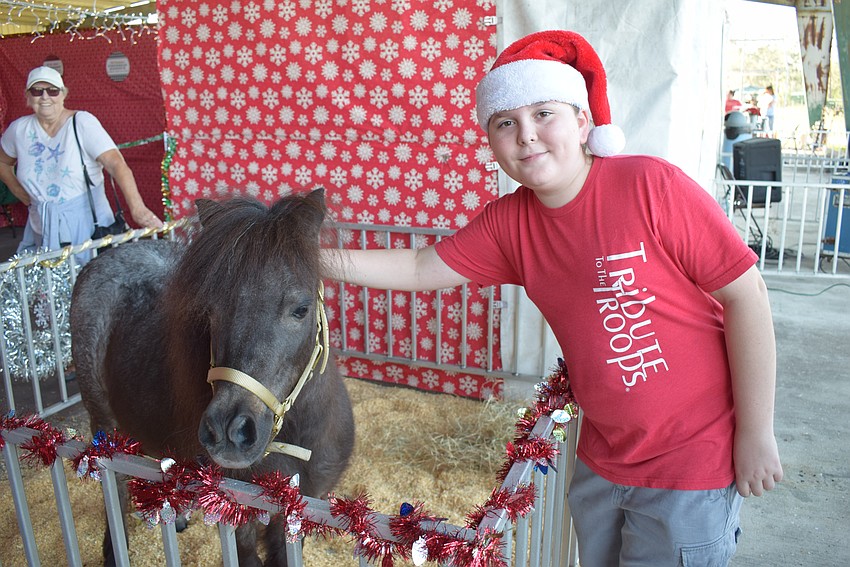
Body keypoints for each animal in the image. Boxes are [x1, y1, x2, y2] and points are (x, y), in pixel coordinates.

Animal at [70, 189, 355, 566]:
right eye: (210, 311)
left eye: (301, 309)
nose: (229, 431)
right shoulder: (236, 516)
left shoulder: (300, 512)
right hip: (103, 421)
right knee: (112, 485)